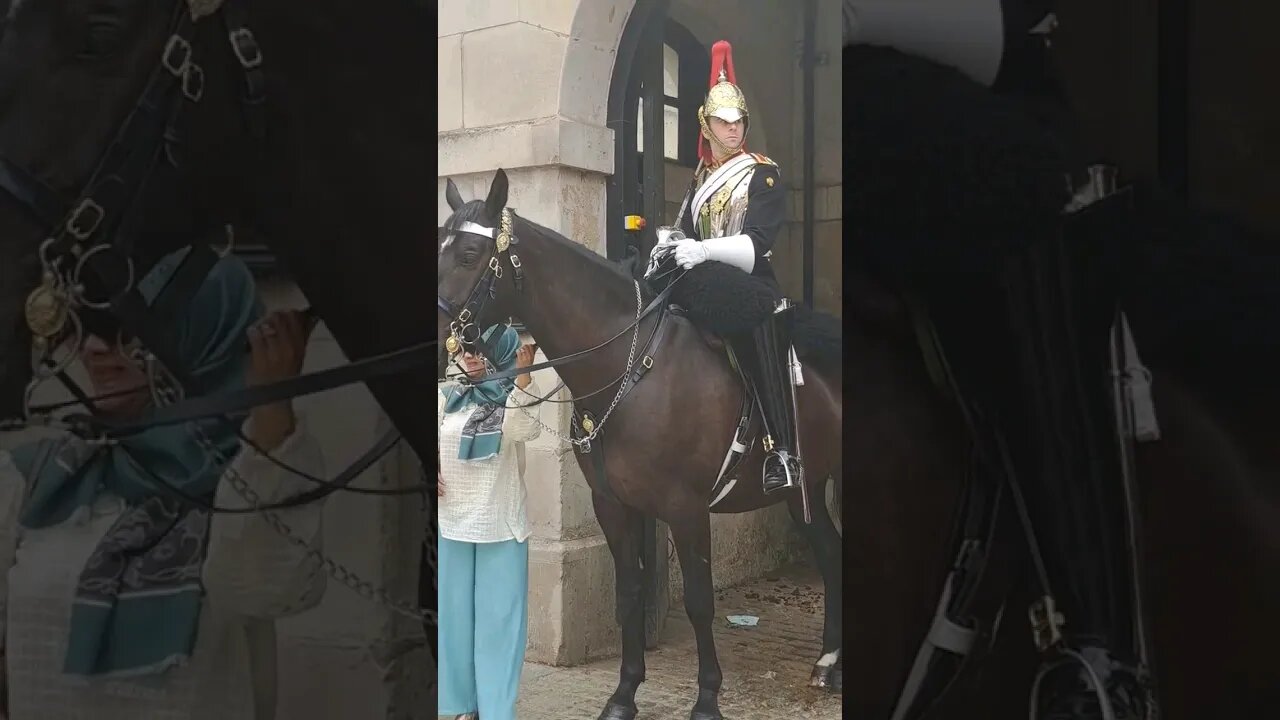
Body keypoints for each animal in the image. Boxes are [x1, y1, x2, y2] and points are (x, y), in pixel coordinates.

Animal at [435, 172, 844, 717]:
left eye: (470, 254)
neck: (629, 369)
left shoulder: (686, 509)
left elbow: (699, 600)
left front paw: (707, 698)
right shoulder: (612, 503)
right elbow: (628, 592)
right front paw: (624, 692)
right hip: (806, 487)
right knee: (830, 553)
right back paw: (828, 663)